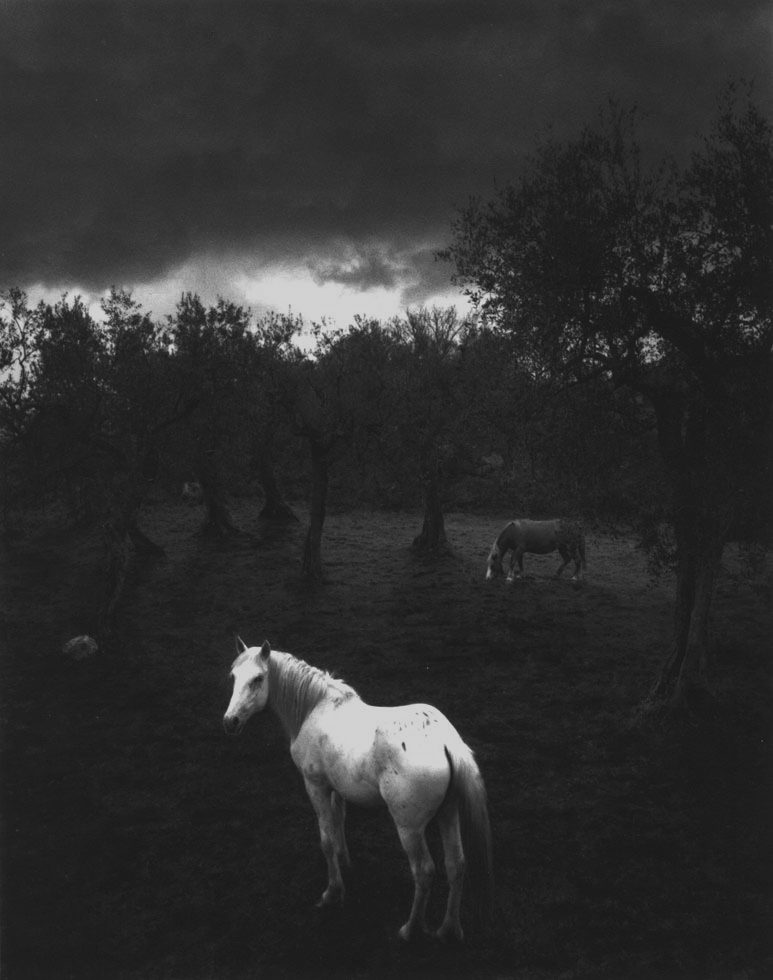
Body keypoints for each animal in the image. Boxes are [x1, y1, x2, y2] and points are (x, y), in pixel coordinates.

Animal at [223, 636, 492, 940]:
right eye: (233, 676)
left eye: (258, 679)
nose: (230, 721)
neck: (314, 709)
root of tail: (447, 743)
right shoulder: (336, 787)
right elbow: (339, 821)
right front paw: (345, 861)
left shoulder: (315, 785)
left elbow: (326, 839)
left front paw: (332, 892)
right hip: (448, 814)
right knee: (456, 865)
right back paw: (449, 928)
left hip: (409, 828)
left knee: (424, 871)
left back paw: (410, 929)